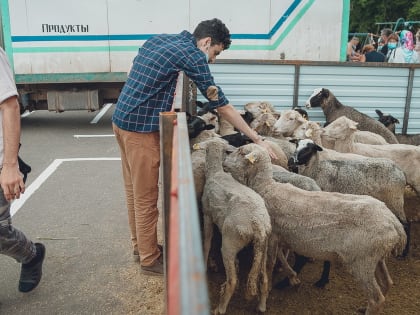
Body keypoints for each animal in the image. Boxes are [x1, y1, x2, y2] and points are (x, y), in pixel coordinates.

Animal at [201, 139, 272, 315]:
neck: (215, 172)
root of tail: (259, 226)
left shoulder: (207, 214)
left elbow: (207, 240)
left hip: (230, 242)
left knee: (232, 281)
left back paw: (220, 308)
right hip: (263, 246)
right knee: (264, 278)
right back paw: (261, 306)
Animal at [223, 144, 406, 315]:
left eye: (241, 152)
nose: (224, 161)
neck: (266, 188)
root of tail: (394, 223)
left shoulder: (272, 237)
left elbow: (268, 266)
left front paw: (262, 302)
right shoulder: (282, 237)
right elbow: (282, 258)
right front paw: (292, 277)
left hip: (362, 261)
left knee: (376, 298)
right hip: (376, 256)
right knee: (387, 283)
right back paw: (365, 306)